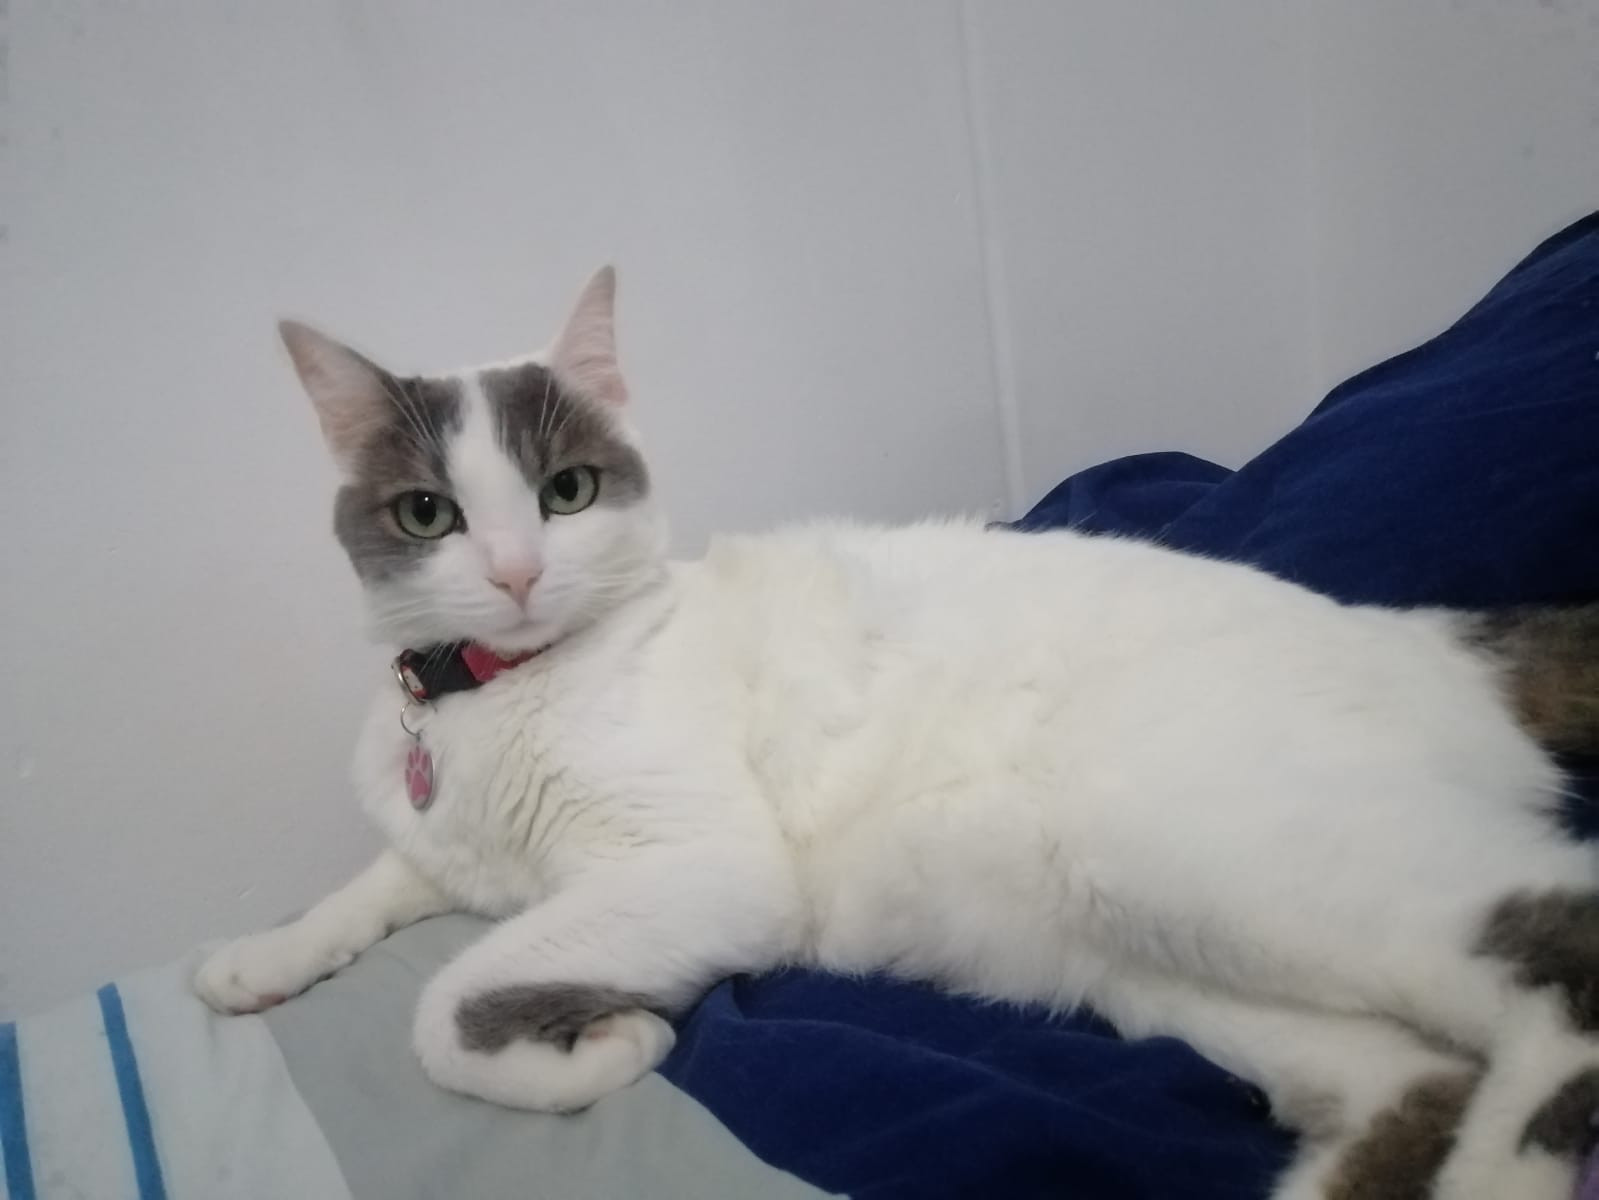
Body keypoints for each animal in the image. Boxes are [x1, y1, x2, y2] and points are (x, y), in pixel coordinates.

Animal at [196, 266, 1599, 1200]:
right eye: (428, 514)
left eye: (567, 492)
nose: (515, 570)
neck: (496, 694)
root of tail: (1431, 636)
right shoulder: (450, 841)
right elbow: (376, 887)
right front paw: (255, 959)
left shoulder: (708, 871)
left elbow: (444, 1010)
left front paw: (612, 1039)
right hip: (1165, 960)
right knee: (1414, 1077)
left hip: (1196, 848)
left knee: (1558, 934)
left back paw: (1503, 1172)